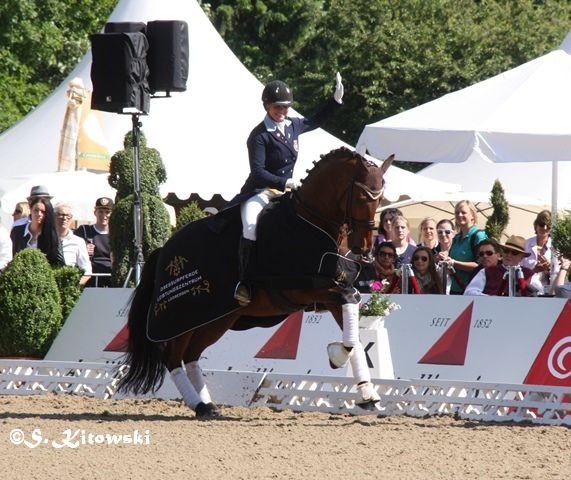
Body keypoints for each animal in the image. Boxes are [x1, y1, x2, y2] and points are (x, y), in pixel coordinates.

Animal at [116, 148, 394, 418]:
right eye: (362, 198)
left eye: (380, 199)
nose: (364, 248)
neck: (310, 222)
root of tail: (164, 249)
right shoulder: (301, 289)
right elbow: (347, 310)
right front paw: (336, 357)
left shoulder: (334, 291)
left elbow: (353, 334)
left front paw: (367, 394)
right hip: (182, 315)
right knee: (173, 357)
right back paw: (199, 405)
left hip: (216, 318)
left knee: (191, 356)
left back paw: (208, 404)